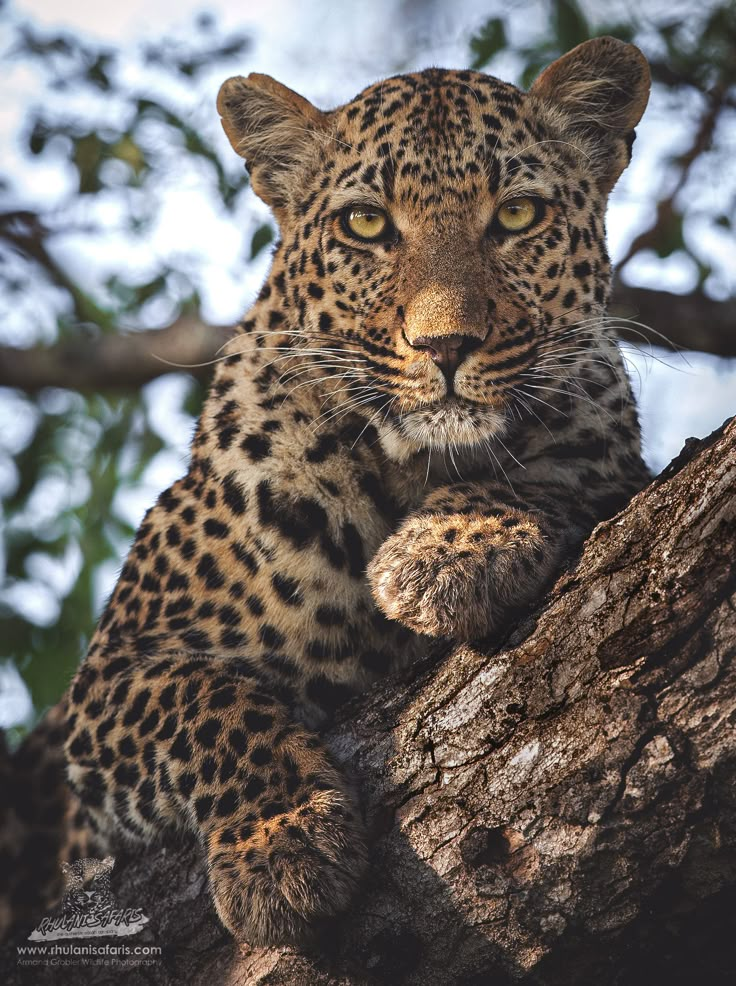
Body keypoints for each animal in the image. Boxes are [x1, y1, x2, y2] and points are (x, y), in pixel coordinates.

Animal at [10, 36, 656, 944]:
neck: (411, 465)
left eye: (518, 215)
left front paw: (445, 555)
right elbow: (208, 704)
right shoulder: (107, 687)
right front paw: (281, 847)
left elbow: (554, 474)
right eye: (366, 224)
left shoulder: (609, 448)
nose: (446, 345)